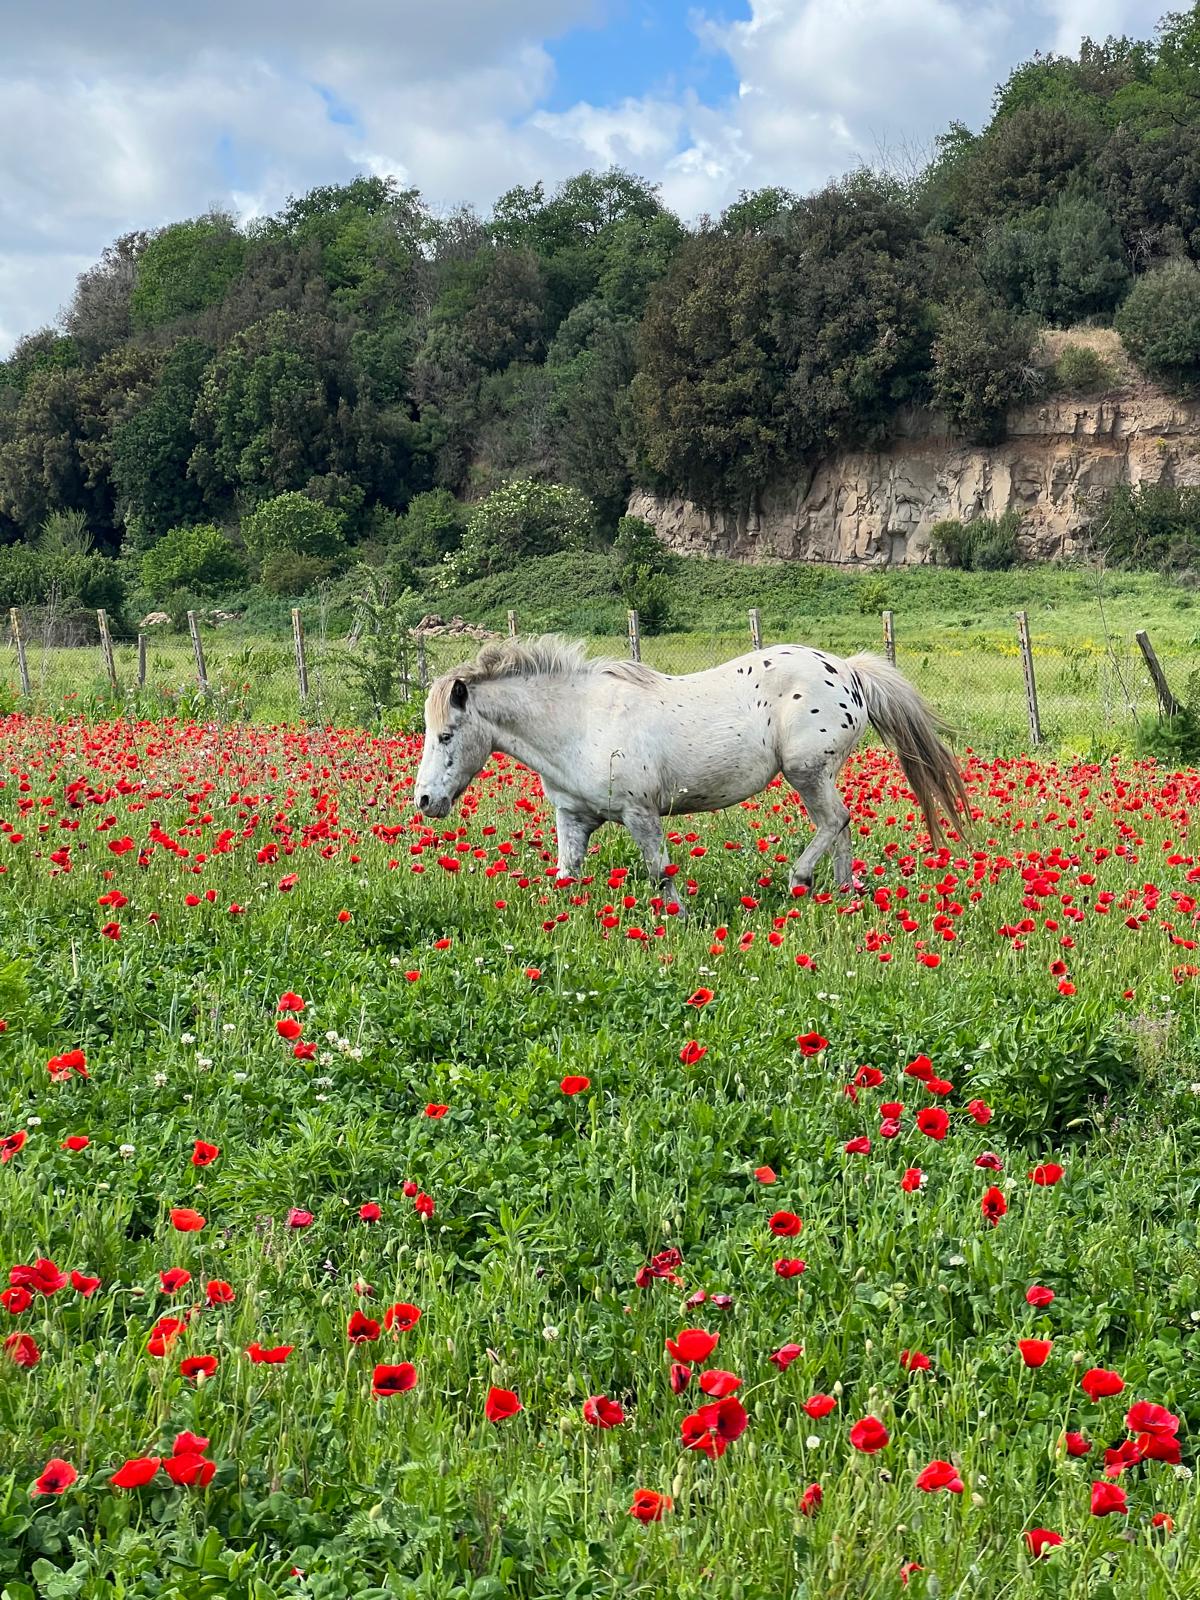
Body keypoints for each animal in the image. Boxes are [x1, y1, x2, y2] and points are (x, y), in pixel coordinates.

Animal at [413, 637, 968, 893]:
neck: (580, 721)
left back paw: (799, 881)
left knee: (835, 821)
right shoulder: (573, 819)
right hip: (821, 776)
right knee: (843, 826)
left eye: (446, 735)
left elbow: (661, 875)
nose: (424, 801)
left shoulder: (640, 815)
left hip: (807, 773)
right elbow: (567, 876)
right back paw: (843, 893)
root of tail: (848, 670)